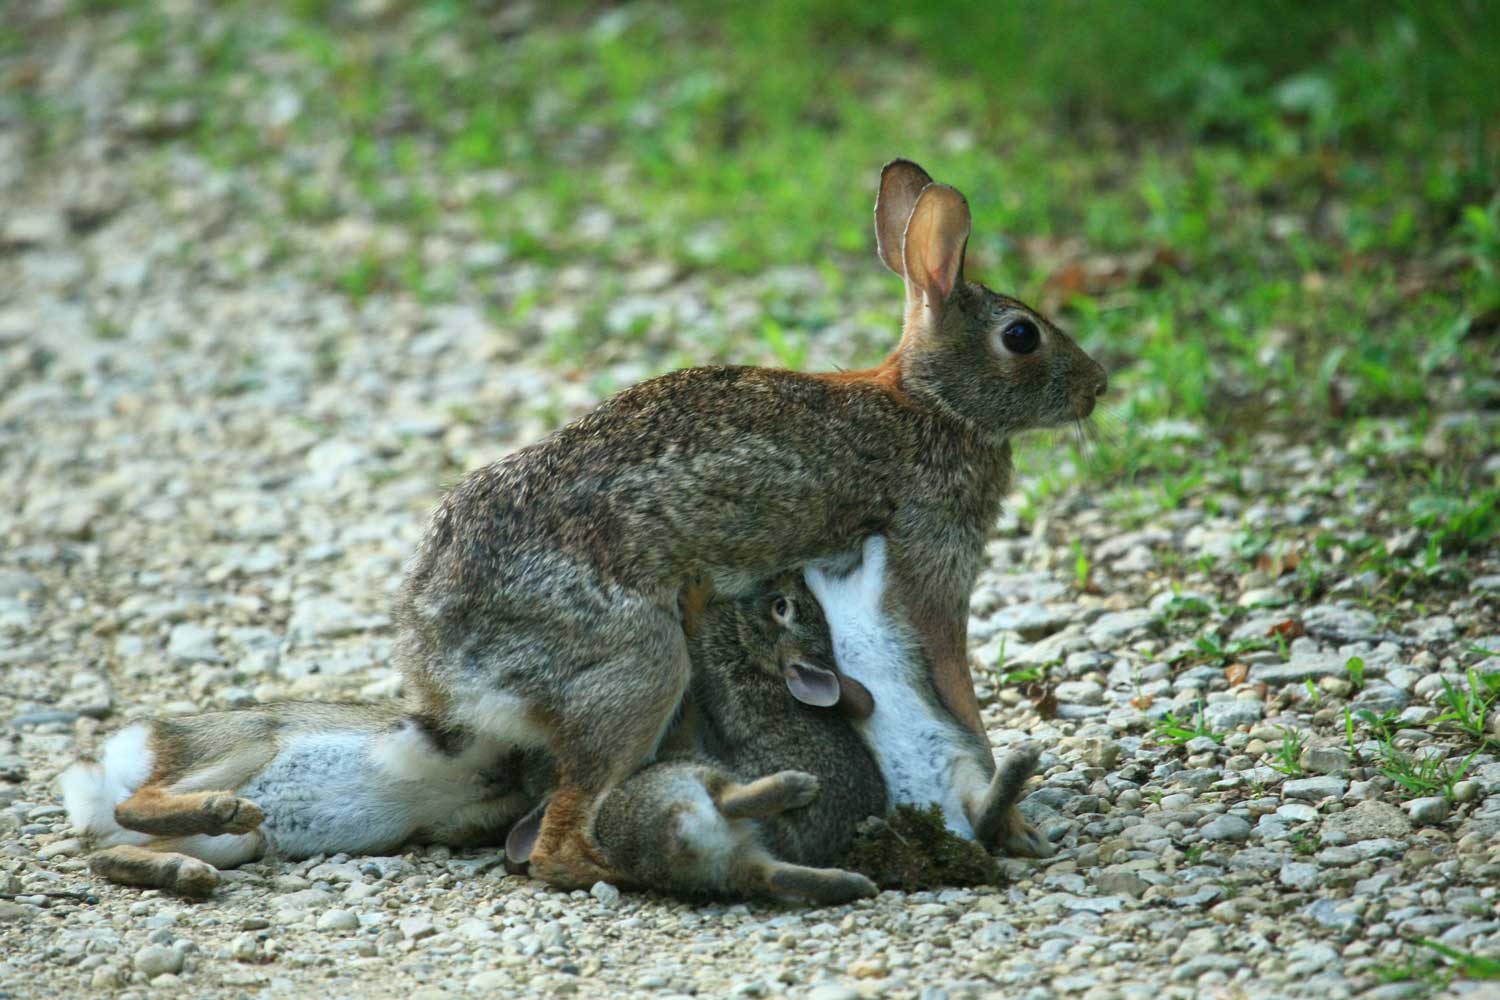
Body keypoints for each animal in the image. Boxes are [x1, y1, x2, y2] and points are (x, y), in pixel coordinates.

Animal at [393, 160, 1110, 887]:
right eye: (1021, 336)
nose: (1098, 385)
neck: (934, 405)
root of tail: (439, 663)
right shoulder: (933, 567)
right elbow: (959, 699)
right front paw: (1018, 826)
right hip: (638, 669)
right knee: (558, 842)